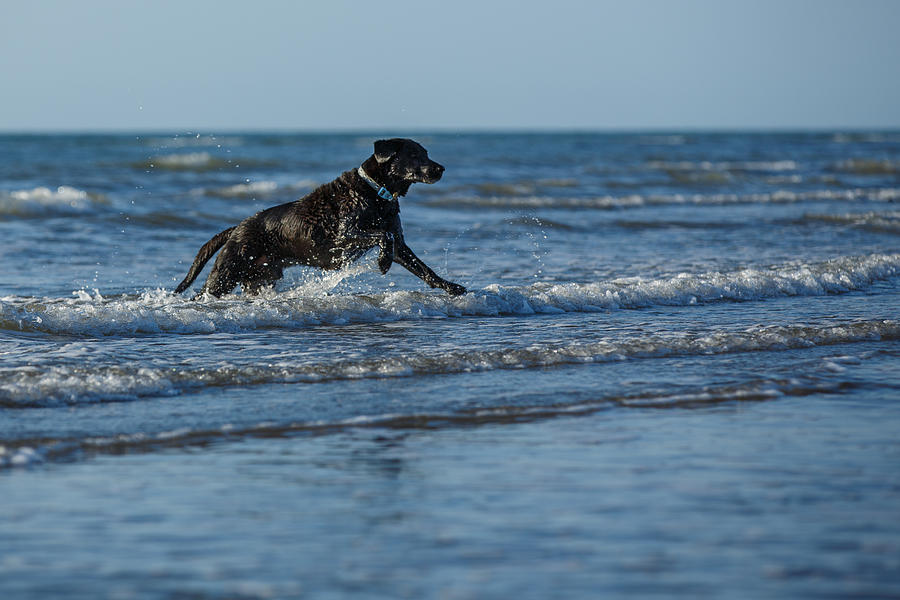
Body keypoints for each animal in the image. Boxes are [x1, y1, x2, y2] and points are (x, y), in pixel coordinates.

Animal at [173, 138, 468, 298]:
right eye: (414, 154)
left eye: (427, 153)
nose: (441, 168)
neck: (375, 192)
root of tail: (237, 228)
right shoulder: (343, 237)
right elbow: (382, 235)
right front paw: (383, 263)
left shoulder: (400, 246)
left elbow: (424, 269)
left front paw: (451, 287)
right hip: (227, 272)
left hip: (259, 278)